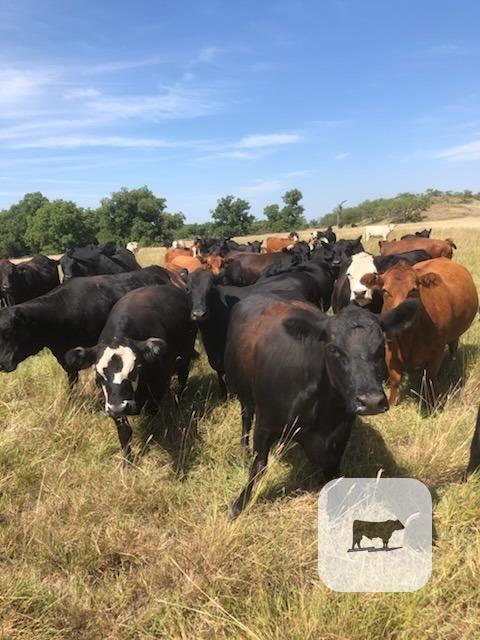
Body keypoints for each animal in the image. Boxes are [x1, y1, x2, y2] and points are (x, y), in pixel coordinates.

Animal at [65, 285, 196, 463]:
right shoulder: (112, 403)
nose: (120, 407)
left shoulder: (159, 384)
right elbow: (124, 432)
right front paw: (127, 461)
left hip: (186, 357)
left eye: (135, 370)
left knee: (183, 378)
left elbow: (152, 412)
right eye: (99, 375)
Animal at [225, 295, 417, 518]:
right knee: (246, 418)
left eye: (381, 347)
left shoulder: (341, 431)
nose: (371, 401)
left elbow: (333, 471)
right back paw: (244, 449)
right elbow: (259, 466)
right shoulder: (265, 424)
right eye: (333, 349)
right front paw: (239, 504)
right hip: (244, 395)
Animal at [361, 258, 478, 406]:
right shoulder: (390, 349)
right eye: (385, 291)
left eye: (413, 290)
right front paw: (392, 402)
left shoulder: (437, 351)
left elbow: (429, 378)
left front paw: (431, 403)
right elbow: (395, 378)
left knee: (453, 346)